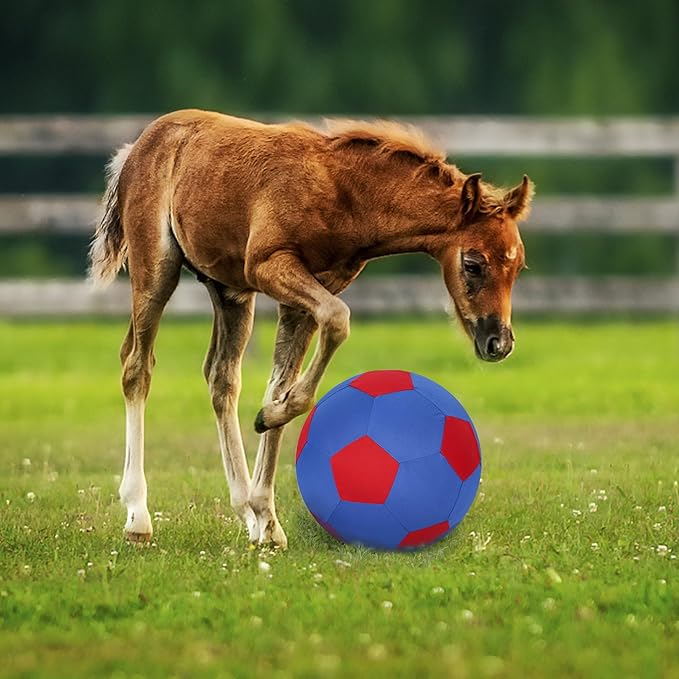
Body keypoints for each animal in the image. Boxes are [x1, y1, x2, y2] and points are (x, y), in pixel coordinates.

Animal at [88, 109, 533, 549]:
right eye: (473, 264)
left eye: (518, 267)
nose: (499, 342)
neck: (345, 194)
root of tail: (137, 146)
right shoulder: (270, 265)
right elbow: (337, 320)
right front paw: (269, 422)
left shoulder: (303, 298)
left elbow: (280, 384)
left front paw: (267, 513)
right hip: (157, 267)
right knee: (137, 366)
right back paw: (138, 516)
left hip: (230, 291)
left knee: (221, 377)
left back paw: (245, 510)